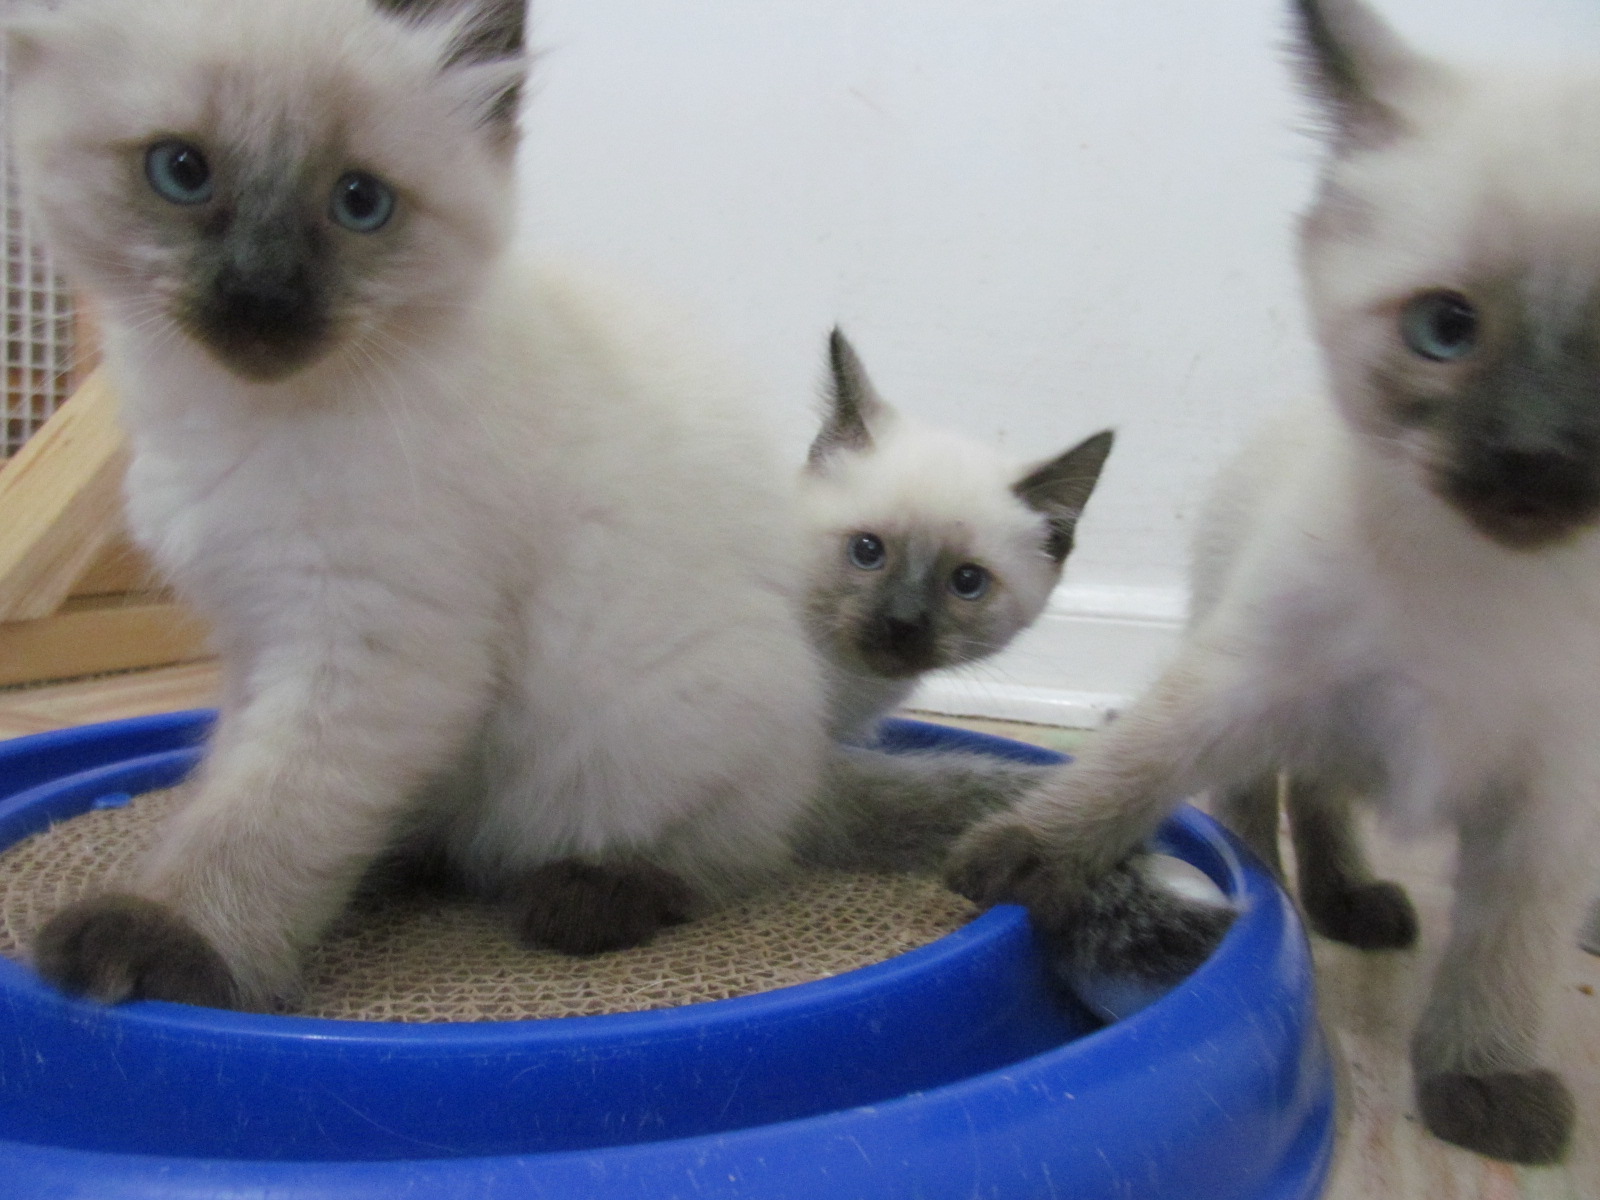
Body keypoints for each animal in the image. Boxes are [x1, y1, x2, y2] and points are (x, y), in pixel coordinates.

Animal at [947, 0, 1600, 1164]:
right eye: (1446, 330)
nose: (1532, 460)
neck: (1483, 583)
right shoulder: (1247, 676)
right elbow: (1126, 775)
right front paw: (1013, 856)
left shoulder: (1556, 796)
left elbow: (1504, 954)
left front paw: (1483, 1082)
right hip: (1288, 690)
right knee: (1273, 801)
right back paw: (1291, 910)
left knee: (1322, 797)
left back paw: (1347, 906)